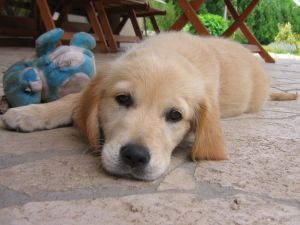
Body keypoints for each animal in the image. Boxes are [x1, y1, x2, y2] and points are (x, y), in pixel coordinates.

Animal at [2, 31, 288, 179]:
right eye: (123, 99)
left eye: (175, 115)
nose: (135, 156)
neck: (172, 50)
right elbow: (71, 99)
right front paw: (29, 113)